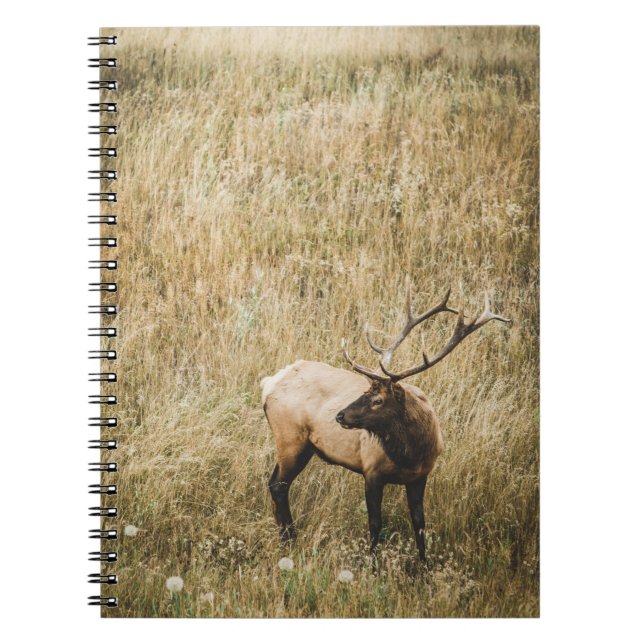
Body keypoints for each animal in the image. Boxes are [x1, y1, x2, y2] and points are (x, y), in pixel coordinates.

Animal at [261, 278, 510, 562]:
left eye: (377, 400)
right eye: (366, 392)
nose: (340, 415)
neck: (410, 454)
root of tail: (268, 384)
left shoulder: (421, 475)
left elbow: (419, 522)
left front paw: (423, 564)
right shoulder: (371, 470)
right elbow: (375, 523)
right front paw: (373, 563)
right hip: (291, 439)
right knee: (277, 485)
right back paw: (289, 539)